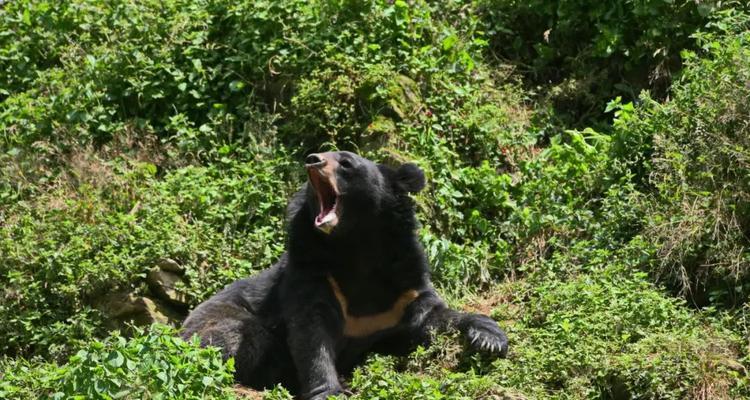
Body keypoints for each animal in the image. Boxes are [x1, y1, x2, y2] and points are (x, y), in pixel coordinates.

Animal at [182, 152, 512, 398]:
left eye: (346, 163)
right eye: (321, 155)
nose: (312, 159)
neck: (355, 243)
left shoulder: (404, 287)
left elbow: (432, 316)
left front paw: (489, 338)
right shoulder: (314, 275)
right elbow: (311, 334)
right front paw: (330, 391)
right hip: (216, 323)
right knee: (241, 338)